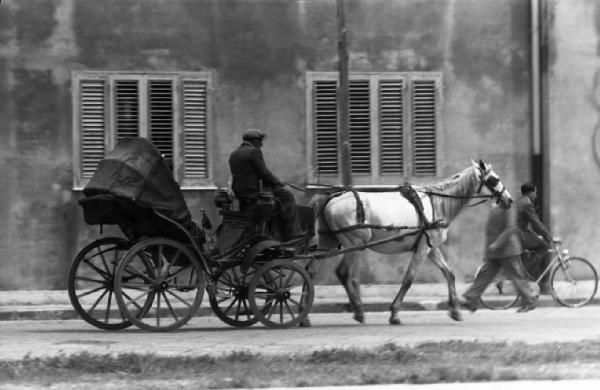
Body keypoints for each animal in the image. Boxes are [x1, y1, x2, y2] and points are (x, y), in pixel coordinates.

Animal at [310, 160, 510, 324]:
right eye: (494, 179)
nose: (509, 200)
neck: (438, 203)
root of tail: (332, 198)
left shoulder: (430, 246)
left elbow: (449, 273)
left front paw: (455, 310)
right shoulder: (422, 249)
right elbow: (408, 279)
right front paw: (395, 313)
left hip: (335, 242)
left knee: (319, 271)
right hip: (356, 243)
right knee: (343, 273)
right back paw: (358, 311)